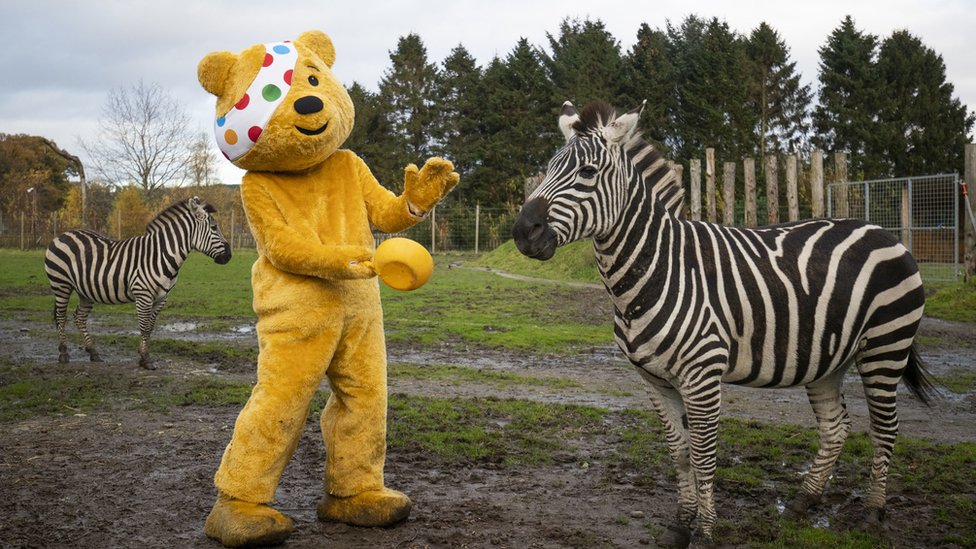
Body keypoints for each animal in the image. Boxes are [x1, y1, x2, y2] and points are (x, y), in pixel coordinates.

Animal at [44, 195, 233, 370]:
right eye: (214, 227)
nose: (229, 256)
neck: (161, 255)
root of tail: (63, 234)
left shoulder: (161, 298)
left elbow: (150, 327)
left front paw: (143, 357)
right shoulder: (143, 295)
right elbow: (144, 326)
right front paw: (146, 359)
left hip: (85, 291)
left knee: (79, 317)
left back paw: (93, 352)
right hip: (61, 284)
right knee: (61, 316)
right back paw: (63, 353)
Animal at [510, 100, 936, 544]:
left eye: (588, 172)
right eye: (548, 168)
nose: (522, 232)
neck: (658, 269)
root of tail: (881, 230)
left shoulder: (702, 376)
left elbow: (703, 455)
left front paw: (704, 531)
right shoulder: (652, 380)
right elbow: (679, 453)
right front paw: (680, 525)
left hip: (886, 346)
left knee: (885, 428)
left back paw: (873, 512)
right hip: (828, 357)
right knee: (835, 428)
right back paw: (803, 502)